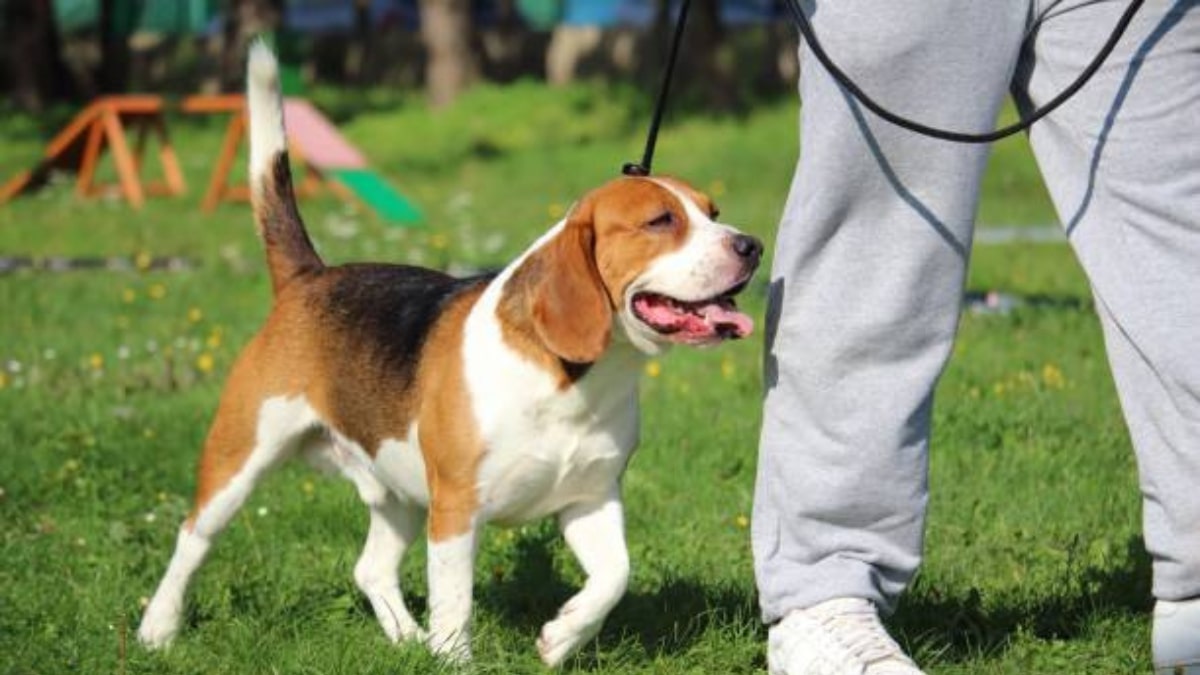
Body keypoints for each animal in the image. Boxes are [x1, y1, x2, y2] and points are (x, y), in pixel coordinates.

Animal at [140, 44, 758, 662]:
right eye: (660, 221)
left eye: (713, 211)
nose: (751, 245)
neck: (574, 380)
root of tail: (308, 277)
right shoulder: (457, 509)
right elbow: (456, 606)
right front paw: (457, 661)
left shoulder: (592, 498)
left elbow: (615, 577)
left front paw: (562, 636)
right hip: (240, 457)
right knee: (191, 539)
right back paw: (158, 629)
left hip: (401, 489)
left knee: (370, 569)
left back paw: (408, 638)